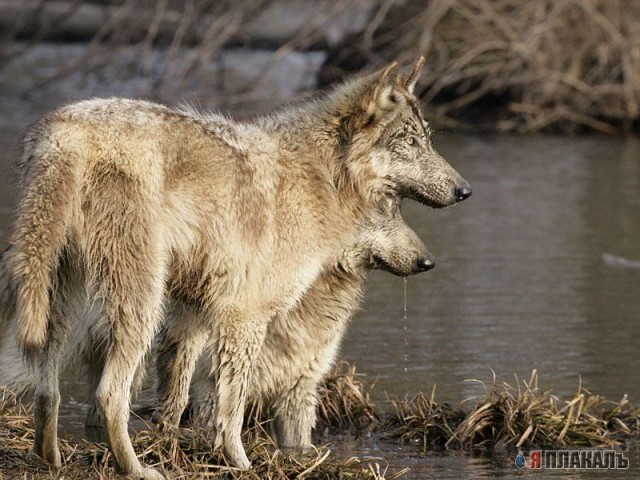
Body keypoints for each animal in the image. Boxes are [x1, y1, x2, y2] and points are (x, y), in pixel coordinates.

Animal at [8, 58, 470, 478]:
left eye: (426, 141)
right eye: (410, 143)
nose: (465, 190)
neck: (320, 176)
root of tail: (62, 134)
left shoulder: (194, 313)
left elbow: (177, 399)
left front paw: (172, 445)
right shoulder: (244, 316)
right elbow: (232, 407)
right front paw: (240, 463)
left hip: (64, 302)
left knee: (47, 388)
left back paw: (50, 460)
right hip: (140, 305)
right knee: (108, 395)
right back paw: (136, 470)